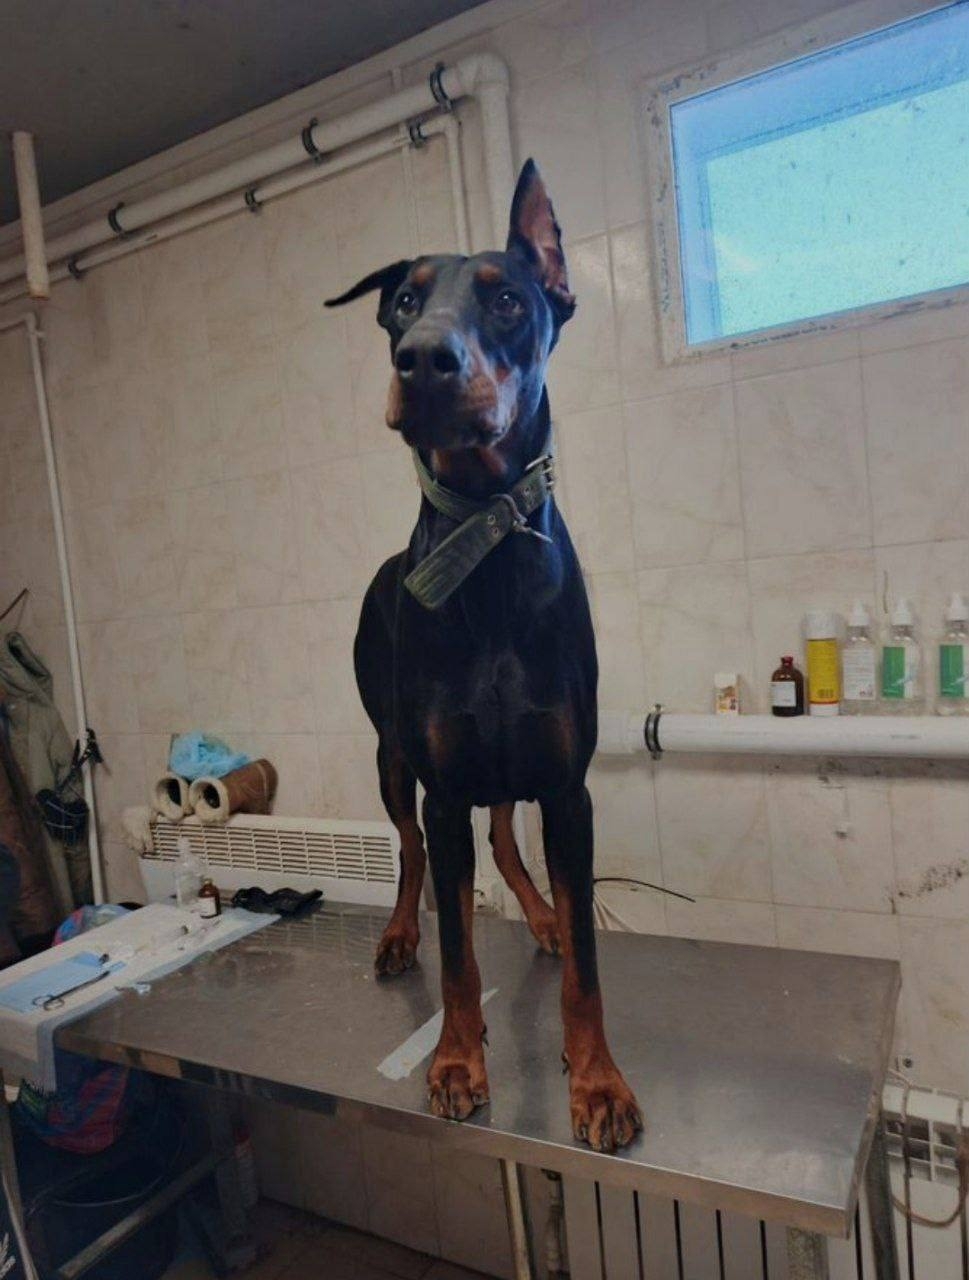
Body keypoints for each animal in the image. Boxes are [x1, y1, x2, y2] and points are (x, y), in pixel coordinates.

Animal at [325, 159, 642, 1152]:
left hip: (510, 764)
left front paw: (598, 1082)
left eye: (507, 298)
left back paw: (539, 917)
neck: (488, 539)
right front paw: (458, 1062)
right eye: (402, 303)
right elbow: (459, 957)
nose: (422, 359)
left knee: (502, 841)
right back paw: (401, 934)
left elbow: (587, 967)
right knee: (416, 857)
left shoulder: (568, 785)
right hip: (397, 758)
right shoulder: (441, 780)